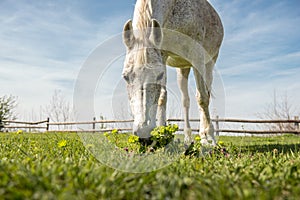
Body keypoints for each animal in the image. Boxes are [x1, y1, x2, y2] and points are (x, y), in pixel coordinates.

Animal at [121, 0, 223, 145]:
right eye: (125, 77)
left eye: (159, 76)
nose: (143, 132)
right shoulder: (162, 54)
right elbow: (162, 97)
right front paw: (162, 135)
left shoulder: (197, 55)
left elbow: (202, 98)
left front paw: (209, 139)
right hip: (183, 68)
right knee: (186, 101)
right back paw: (188, 138)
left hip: (209, 63)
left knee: (205, 94)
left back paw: (206, 136)